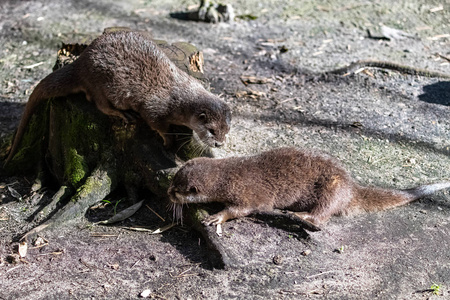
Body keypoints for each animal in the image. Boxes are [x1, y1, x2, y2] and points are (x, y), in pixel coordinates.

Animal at [6, 29, 232, 165]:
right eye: (211, 130)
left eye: (226, 130)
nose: (220, 144)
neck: (178, 97)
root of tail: (81, 63)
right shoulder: (155, 108)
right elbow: (158, 125)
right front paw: (168, 141)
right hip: (101, 83)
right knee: (98, 102)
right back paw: (124, 114)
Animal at [167, 147, 448, 230]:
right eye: (172, 183)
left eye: (178, 190)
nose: (168, 194)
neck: (228, 175)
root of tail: (352, 187)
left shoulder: (249, 193)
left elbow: (243, 209)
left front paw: (216, 217)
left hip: (332, 189)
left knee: (323, 214)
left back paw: (298, 215)